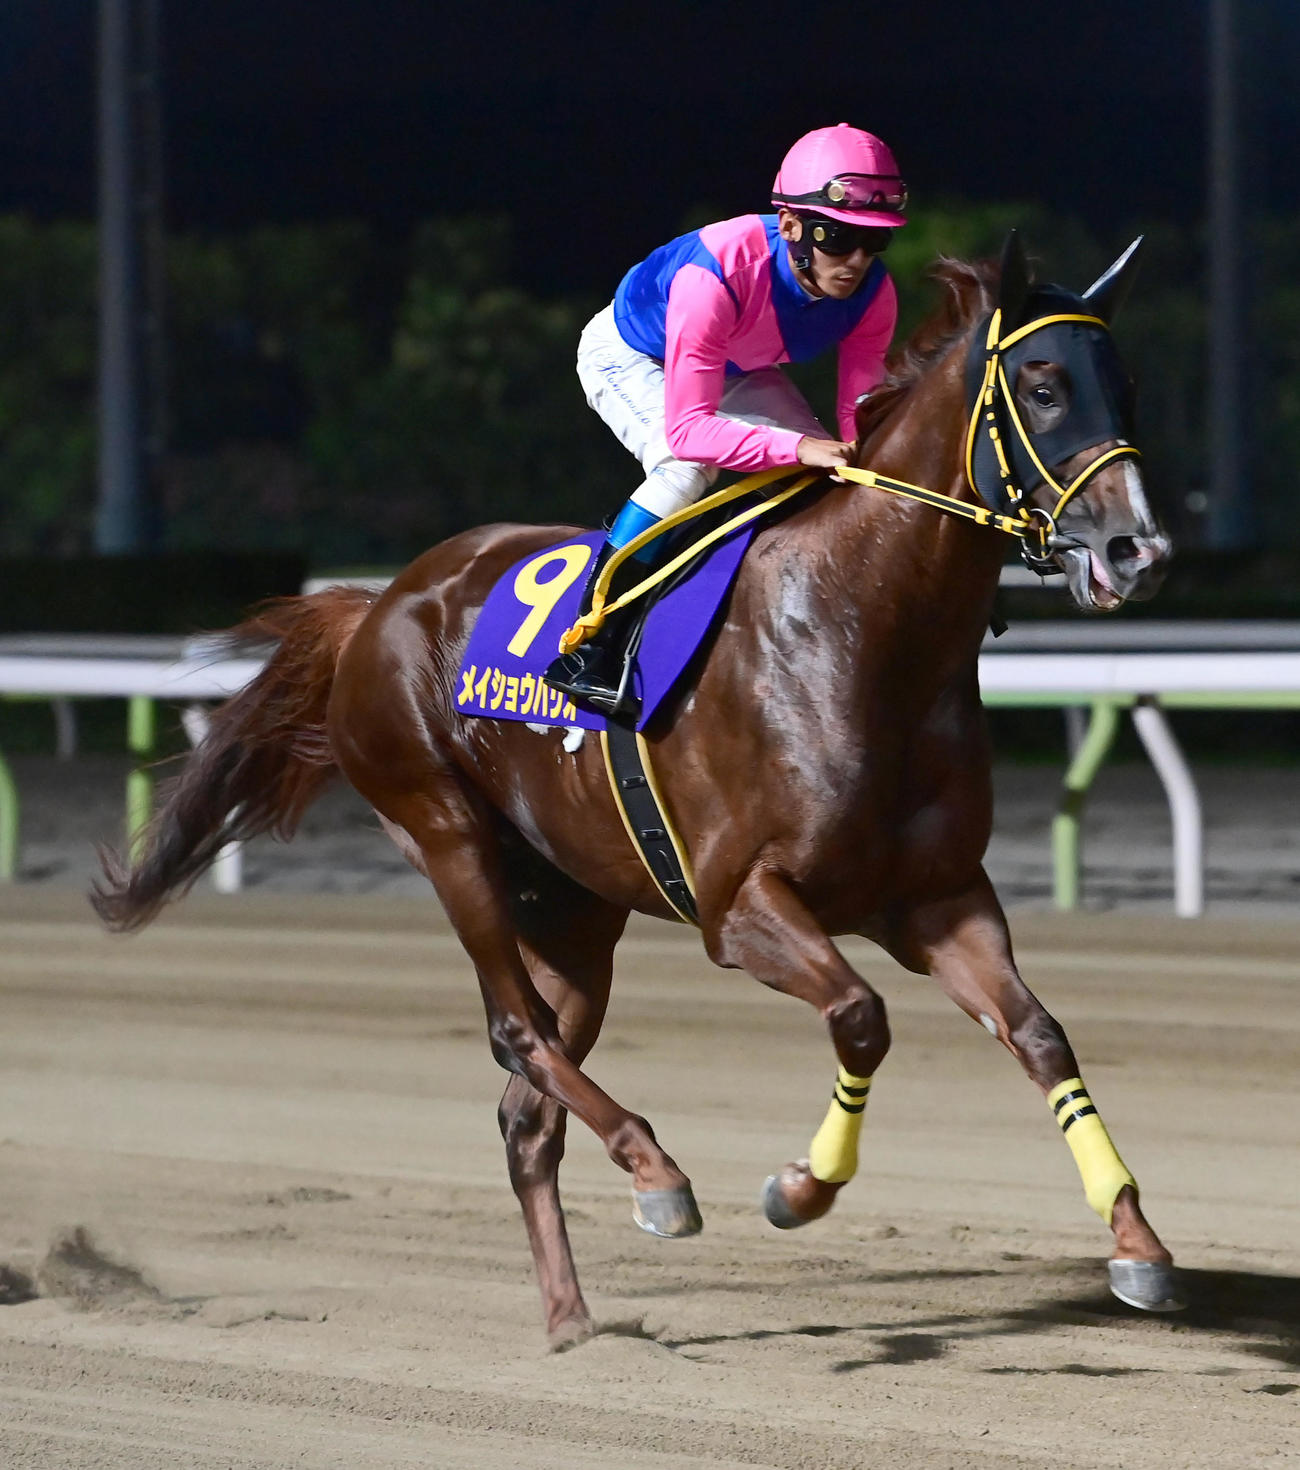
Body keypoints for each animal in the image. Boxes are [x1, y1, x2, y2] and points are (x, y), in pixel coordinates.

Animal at [92, 235, 1179, 1349]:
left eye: (1129, 385)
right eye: (1044, 387)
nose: (1139, 549)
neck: (862, 630)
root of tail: (376, 606)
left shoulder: (939, 898)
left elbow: (1040, 1037)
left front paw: (1137, 1245)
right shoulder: (739, 906)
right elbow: (860, 1015)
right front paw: (799, 1187)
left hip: (572, 907)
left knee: (525, 1109)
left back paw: (571, 1314)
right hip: (444, 831)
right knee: (516, 1032)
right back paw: (657, 1173)